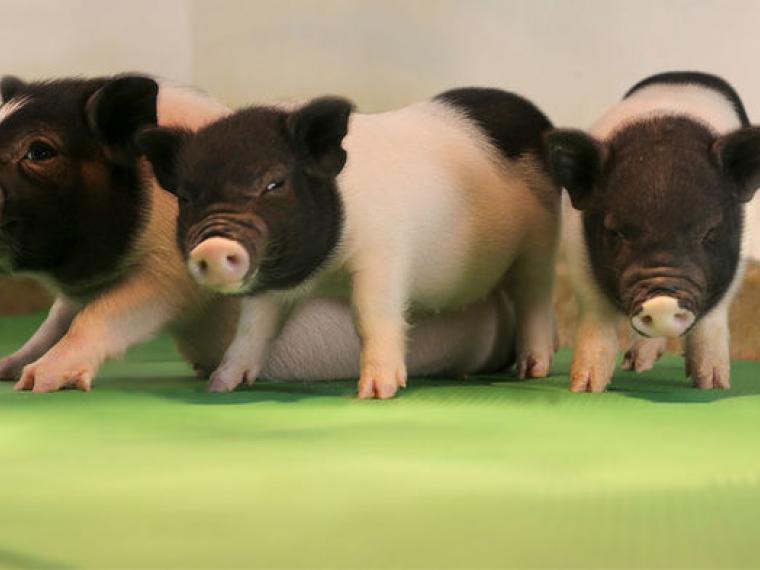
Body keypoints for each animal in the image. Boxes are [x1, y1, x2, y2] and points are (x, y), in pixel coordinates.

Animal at [0, 75, 519, 391]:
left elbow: (102, 316)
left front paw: (35, 382)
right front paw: (10, 369)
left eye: (40, 151)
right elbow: (53, 322)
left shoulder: (169, 277)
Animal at [137, 87, 561, 398]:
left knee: (534, 298)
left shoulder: (384, 257)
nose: (212, 246)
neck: (326, 274)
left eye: (274, 183)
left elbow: (371, 315)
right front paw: (220, 385)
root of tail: (534, 115)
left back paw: (533, 370)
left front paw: (374, 392)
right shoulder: (274, 282)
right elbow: (253, 328)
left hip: (541, 242)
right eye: (186, 197)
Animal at [545, 71, 760, 392]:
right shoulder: (579, 260)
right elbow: (598, 324)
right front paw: (585, 388)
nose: (662, 301)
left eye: (709, 231)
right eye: (616, 231)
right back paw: (635, 365)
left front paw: (714, 384)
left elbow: (710, 324)